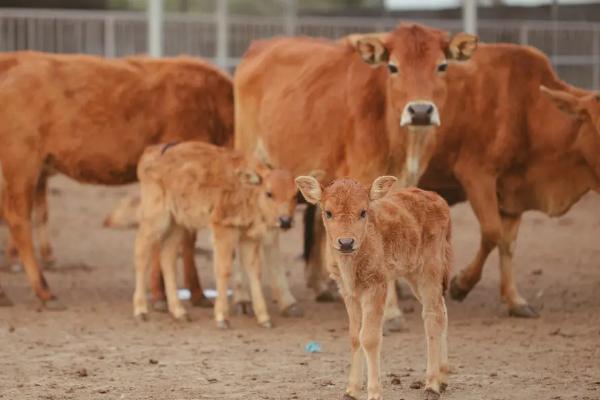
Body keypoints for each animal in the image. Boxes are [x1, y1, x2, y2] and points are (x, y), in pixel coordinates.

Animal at [0, 51, 232, 308]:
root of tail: (13, 59)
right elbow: (184, 237)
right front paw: (180, 294)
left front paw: (176, 293)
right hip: (22, 163)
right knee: (18, 220)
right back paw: (43, 290)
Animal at [134, 141, 298, 328]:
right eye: (269, 193)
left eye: (295, 195)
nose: (285, 221)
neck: (248, 188)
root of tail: (151, 152)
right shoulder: (223, 229)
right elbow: (223, 269)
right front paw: (222, 318)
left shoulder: (248, 238)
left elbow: (254, 271)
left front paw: (264, 319)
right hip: (156, 219)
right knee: (141, 253)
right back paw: (140, 311)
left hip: (178, 224)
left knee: (167, 258)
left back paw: (179, 312)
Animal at [296, 176, 450, 400]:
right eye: (328, 212)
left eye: (363, 212)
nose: (346, 242)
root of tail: (438, 199)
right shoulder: (348, 292)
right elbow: (354, 336)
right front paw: (351, 391)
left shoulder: (376, 286)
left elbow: (369, 337)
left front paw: (375, 392)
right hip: (414, 275)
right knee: (442, 310)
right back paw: (443, 377)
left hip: (430, 270)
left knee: (432, 315)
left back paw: (432, 385)